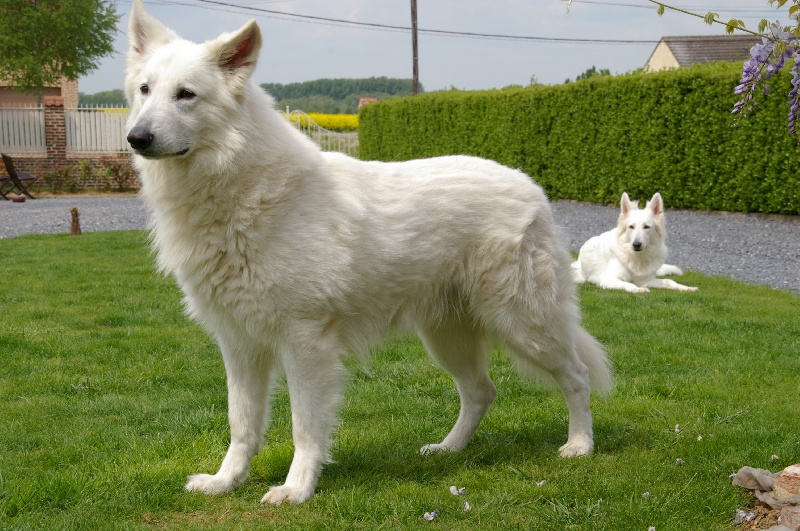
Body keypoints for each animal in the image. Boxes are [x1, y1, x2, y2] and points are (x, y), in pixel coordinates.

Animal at [123, 0, 612, 508]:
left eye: (186, 95)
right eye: (145, 90)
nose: (136, 138)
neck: (237, 187)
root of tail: (533, 188)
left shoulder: (304, 342)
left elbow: (304, 428)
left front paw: (297, 488)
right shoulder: (239, 344)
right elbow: (242, 425)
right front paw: (226, 481)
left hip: (526, 324)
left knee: (576, 376)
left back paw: (580, 445)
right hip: (448, 338)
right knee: (482, 391)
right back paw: (449, 449)